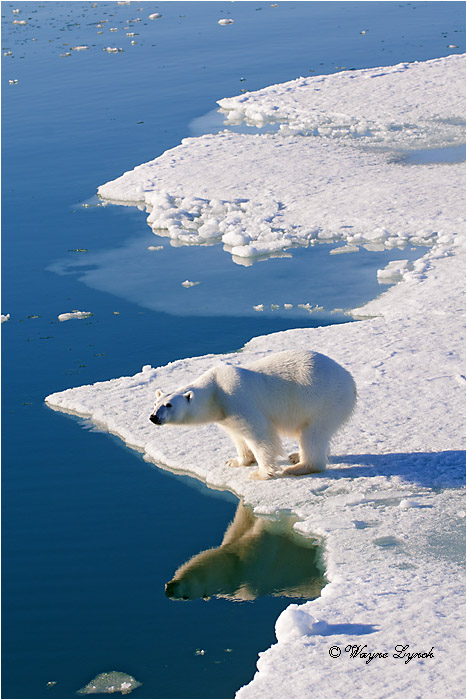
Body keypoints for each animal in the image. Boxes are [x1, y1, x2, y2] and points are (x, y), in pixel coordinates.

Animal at [149, 349, 356, 480]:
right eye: (155, 404)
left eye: (168, 405)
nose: (153, 417)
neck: (215, 390)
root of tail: (349, 379)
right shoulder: (226, 414)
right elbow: (238, 436)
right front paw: (236, 461)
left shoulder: (238, 399)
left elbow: (259, 435)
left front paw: (261, 473)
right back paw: (296, 456)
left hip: (323, 402)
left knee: (313, 435)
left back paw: (298, 467)